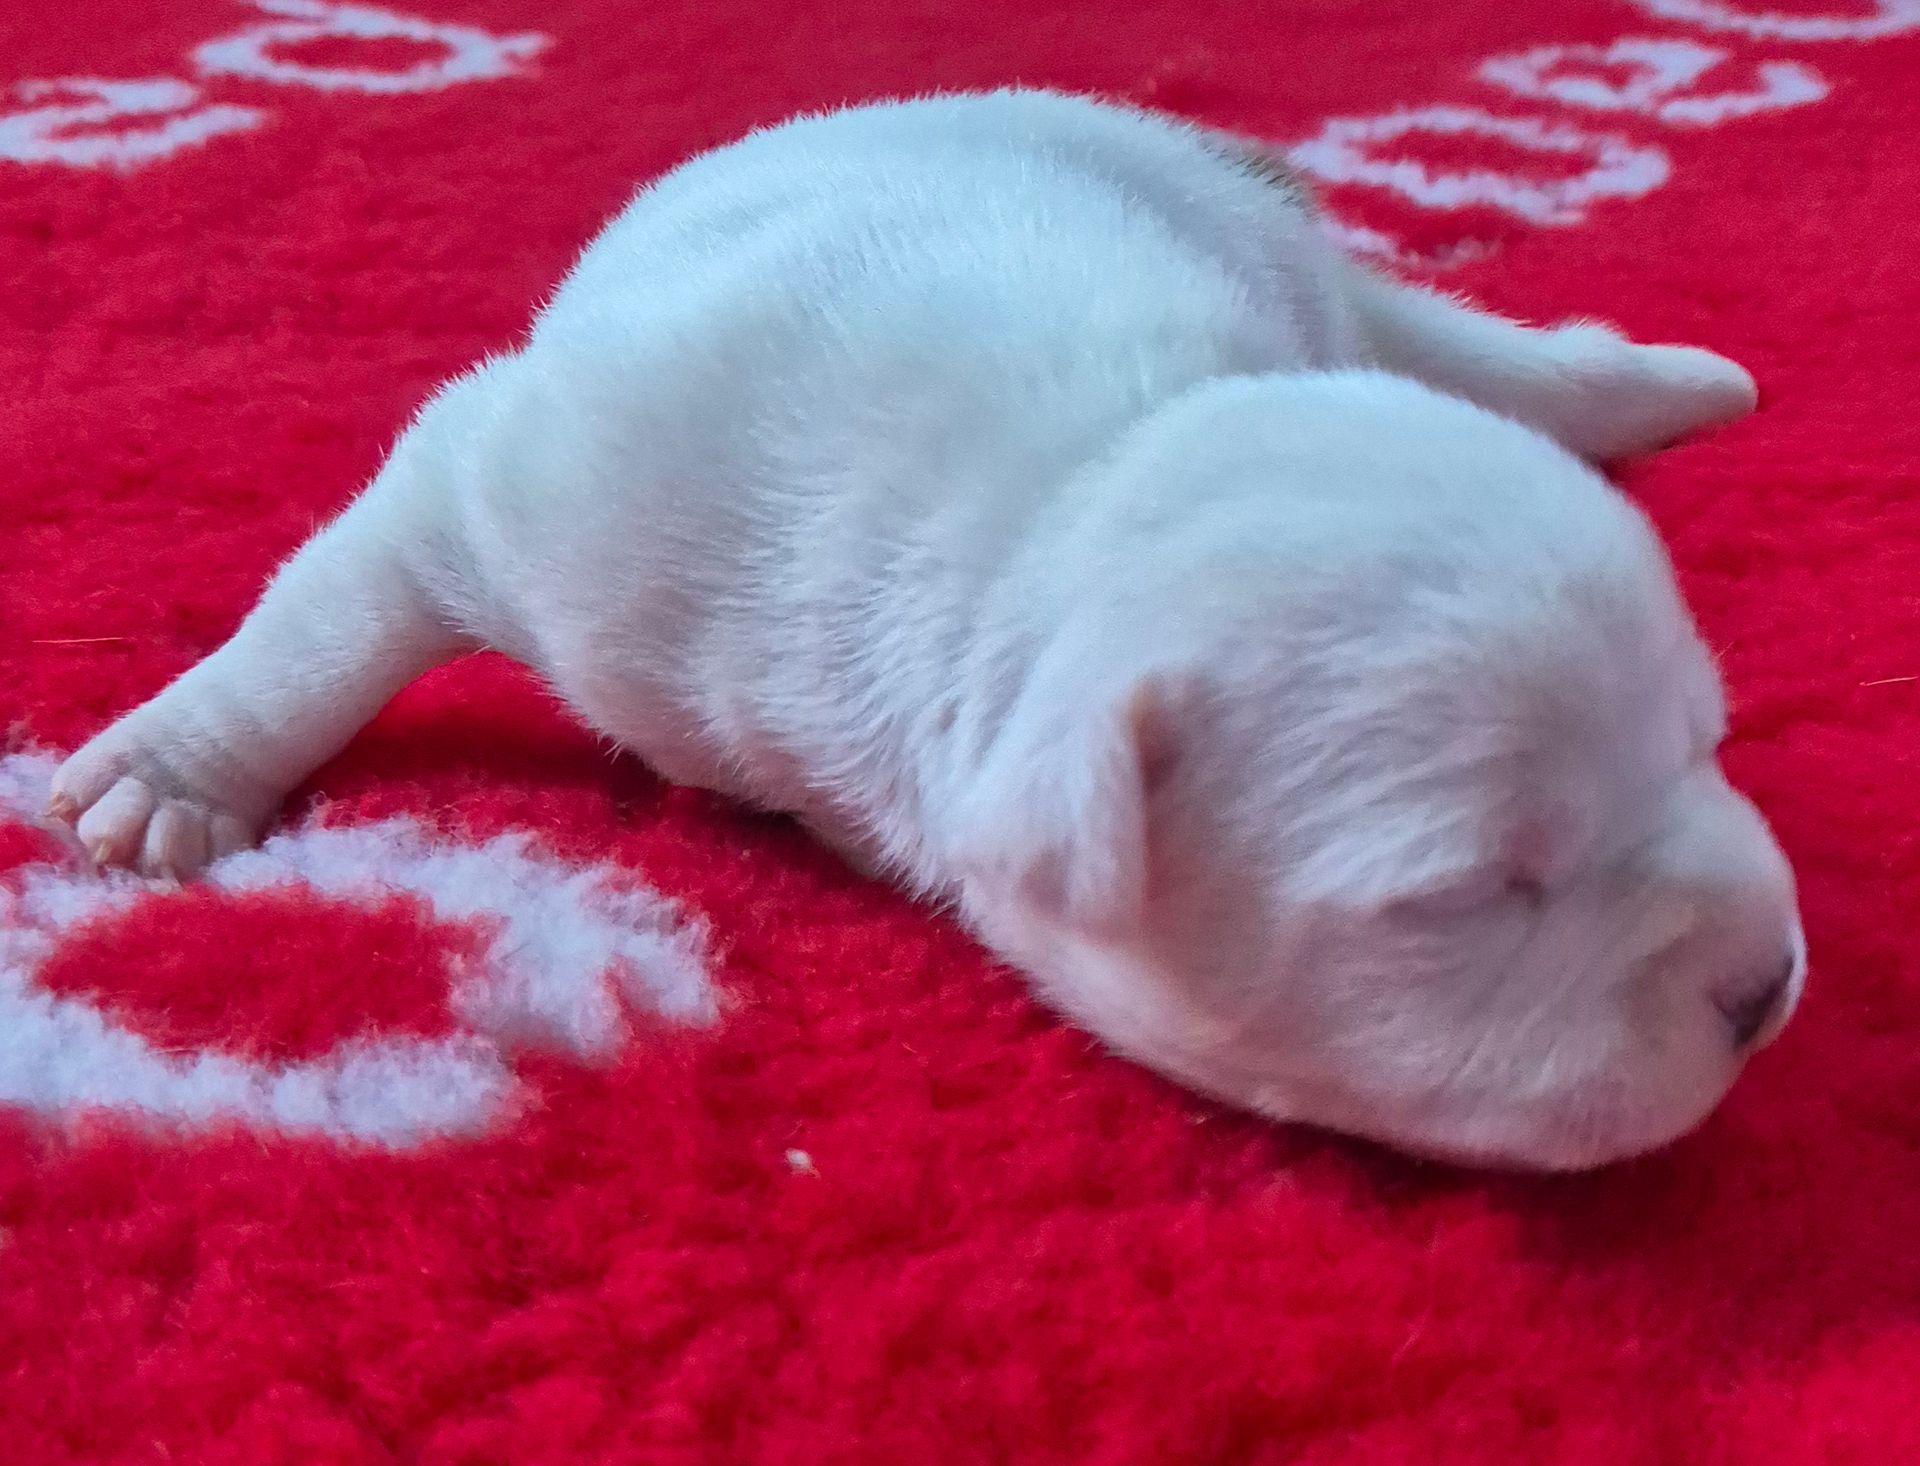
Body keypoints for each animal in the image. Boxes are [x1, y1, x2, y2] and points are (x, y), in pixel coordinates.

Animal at [45, 89, 1803, 1169]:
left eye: (1705, 743)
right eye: (1476, 891)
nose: (1768, 982)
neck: (1072, 497)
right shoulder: (546, 487)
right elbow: (349, 592)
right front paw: (173, 765)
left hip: (1310, 279)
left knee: (1485, 349)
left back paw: (1667, 383)